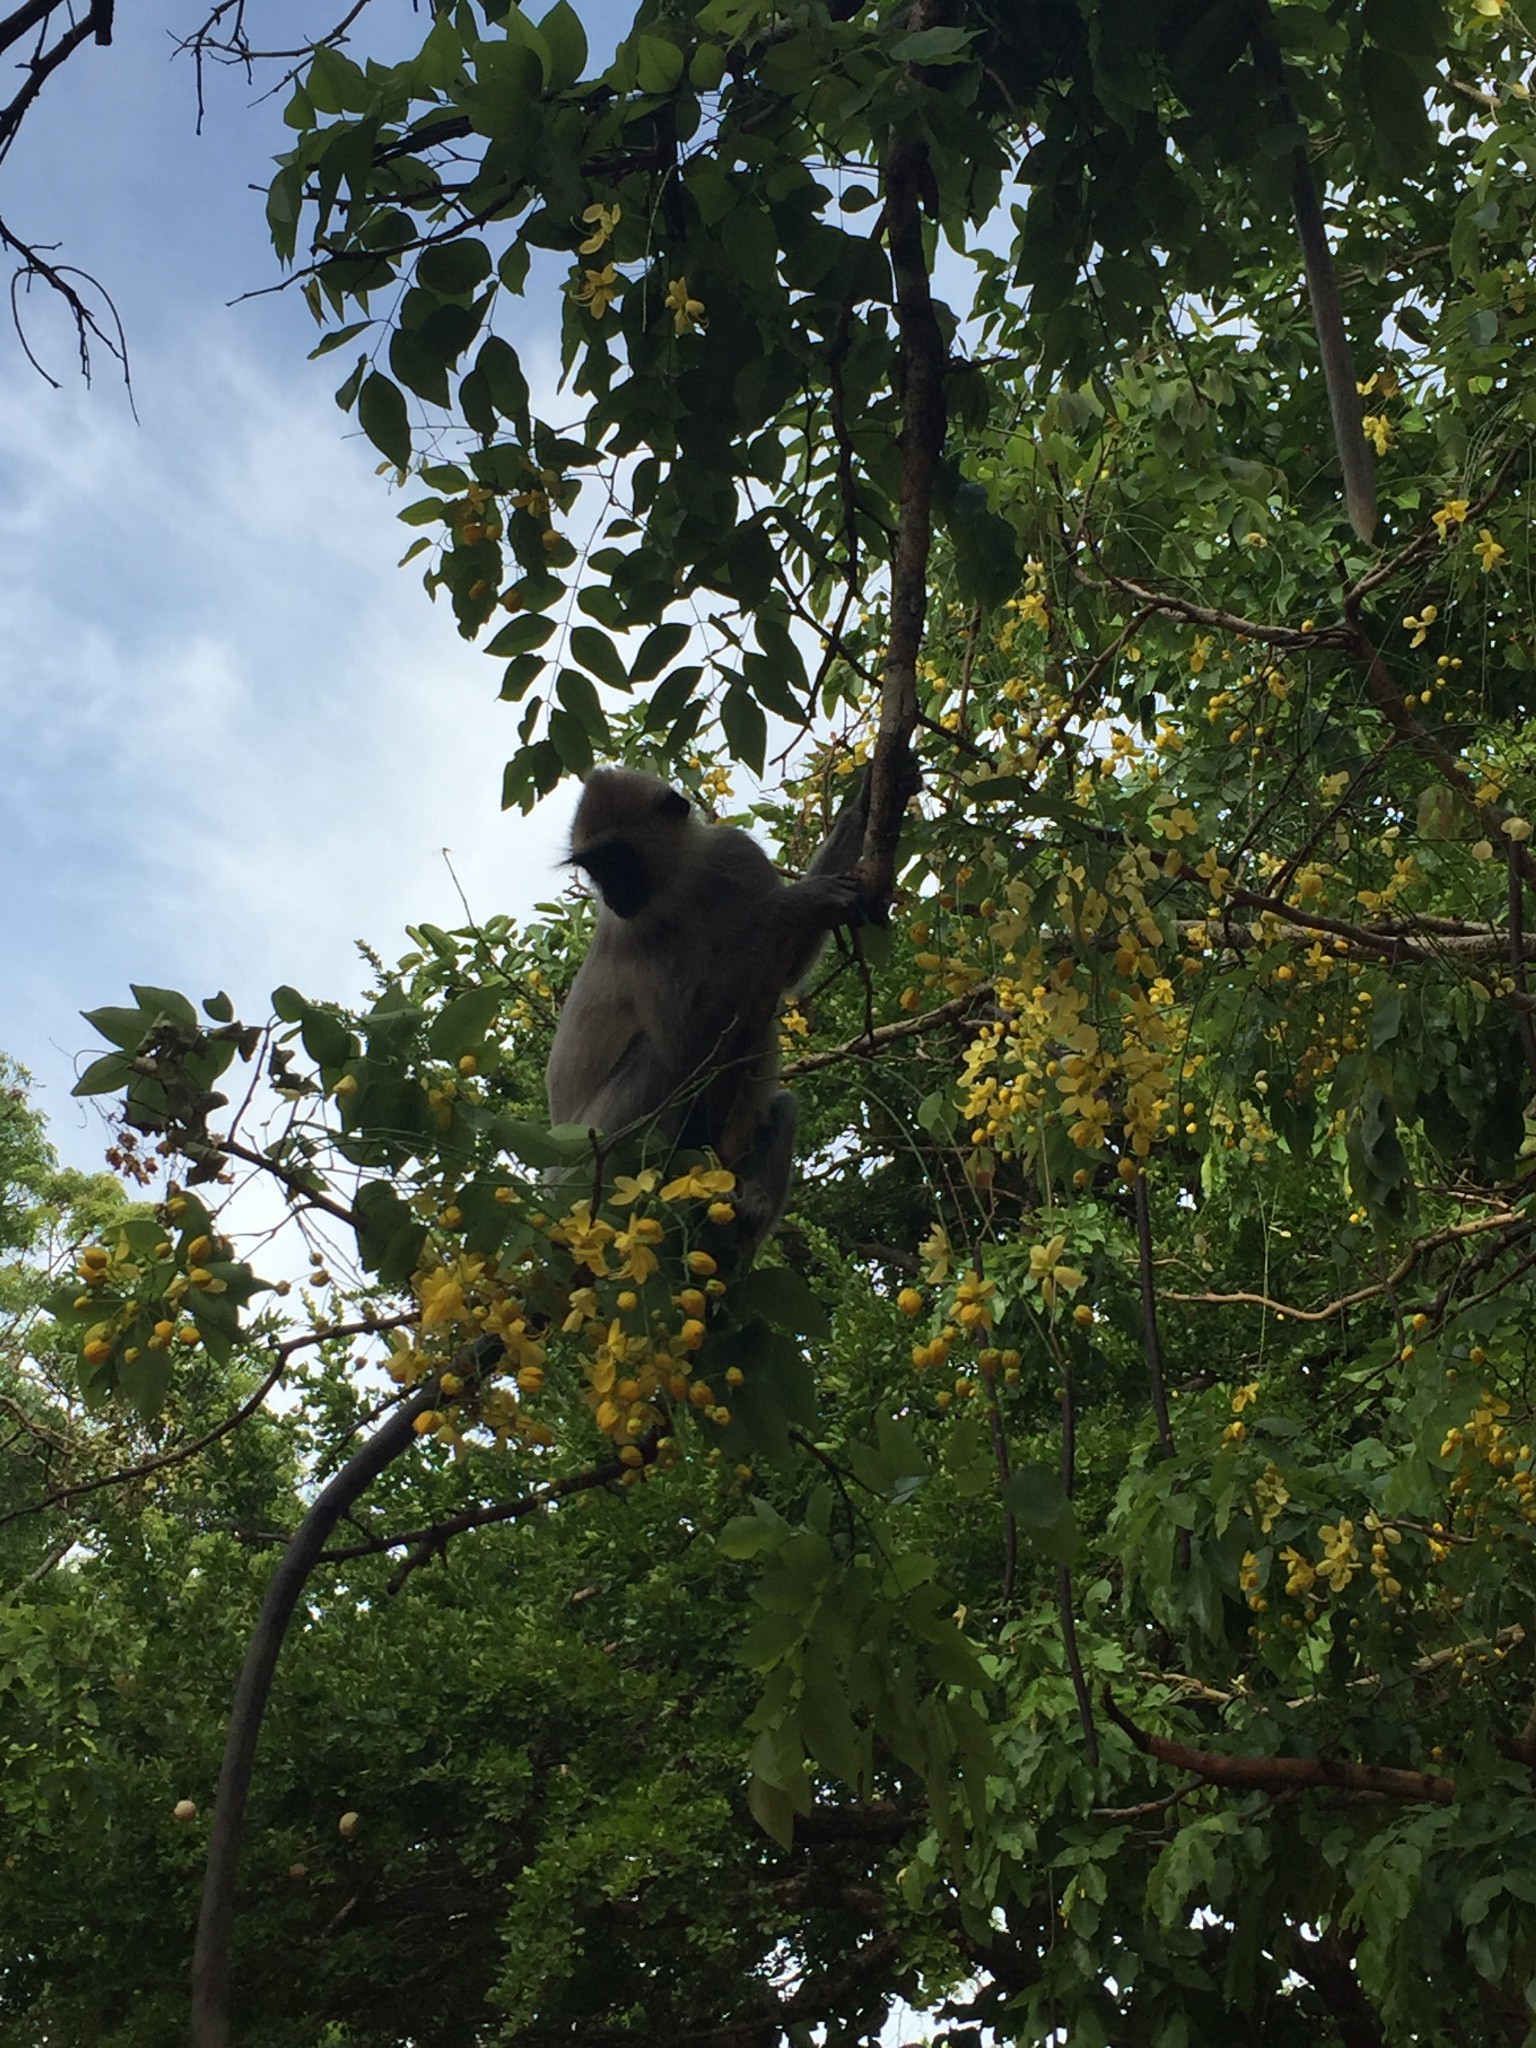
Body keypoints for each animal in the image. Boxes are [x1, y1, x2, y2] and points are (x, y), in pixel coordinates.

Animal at [544, 765, 876, 1245]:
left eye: (617, 860)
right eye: (596, 867)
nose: (612, 895)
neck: (682, 883)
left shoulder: (736, 853)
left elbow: (788, 973)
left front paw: (864, 805)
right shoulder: (637, 934)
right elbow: (685, 1048)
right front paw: (792, 901)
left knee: (781, 1102)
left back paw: (751, 1203)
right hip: (591, 1151)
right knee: (657, 1058)